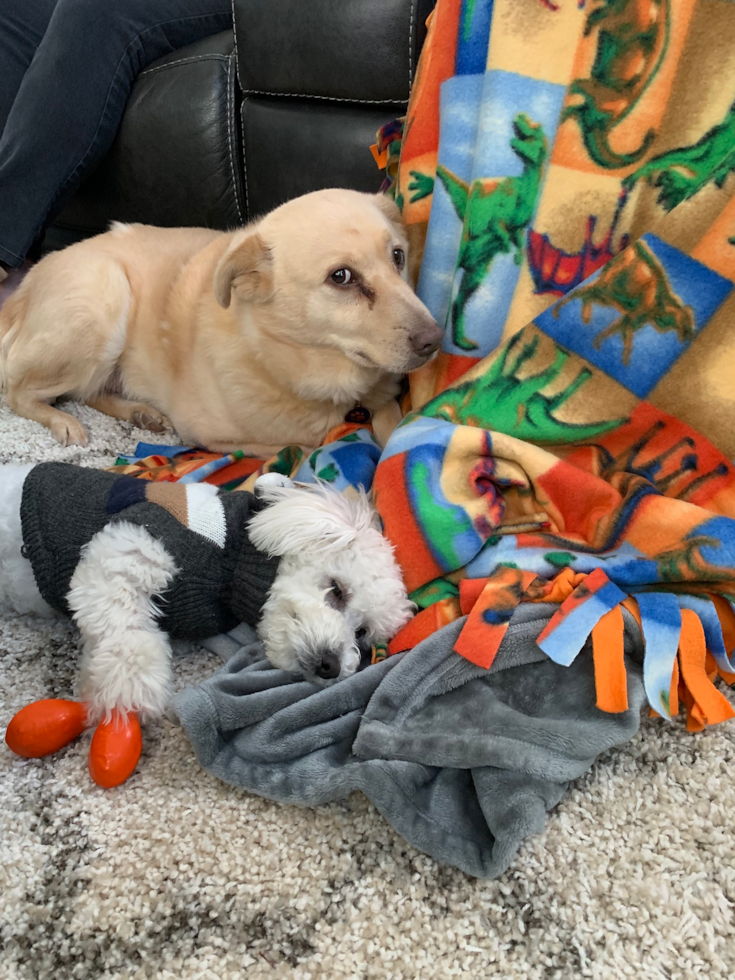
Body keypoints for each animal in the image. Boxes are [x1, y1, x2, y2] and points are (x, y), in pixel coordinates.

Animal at [0, 189, 442, 454]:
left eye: (398, 256)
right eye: (341, 276)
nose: (435, 340)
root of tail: (28, 281)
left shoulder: (381, 401)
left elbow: (392, 422)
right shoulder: (213, 436)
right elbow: (302, 446)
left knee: (86, 391)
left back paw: (140, 413)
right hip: (103, 298)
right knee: (19, 392)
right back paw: (64, 423)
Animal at [0, 464, 414, 724]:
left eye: (361, 633)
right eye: (336, 590)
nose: (331, 665)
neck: (233, 567)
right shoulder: (133, 541)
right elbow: (124, 629)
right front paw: (128, 693)